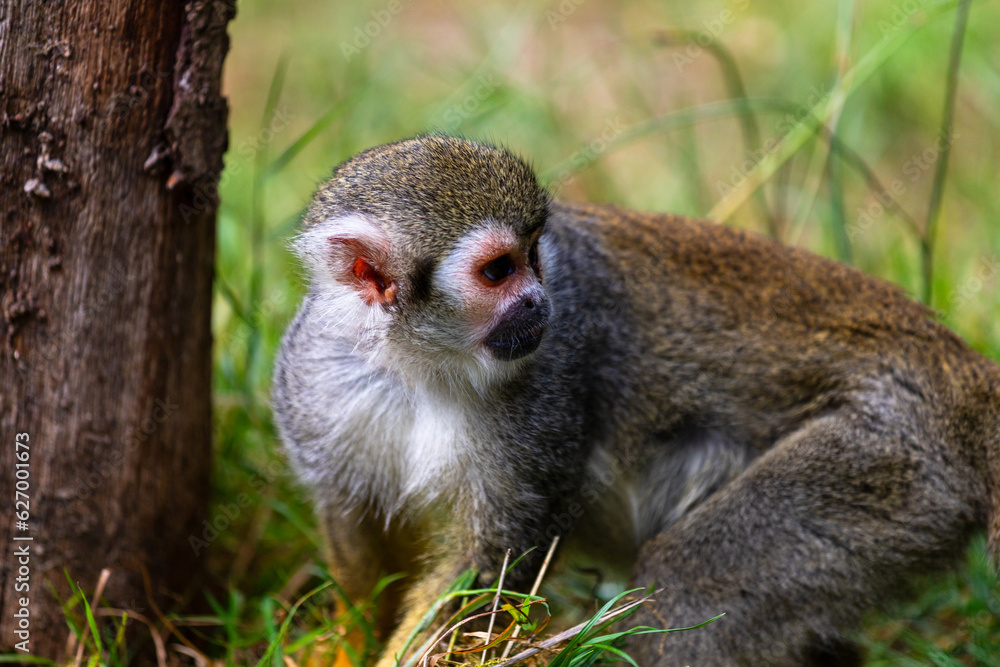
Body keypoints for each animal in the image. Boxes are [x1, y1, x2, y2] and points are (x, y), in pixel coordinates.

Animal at [271, 134, 1000, 666]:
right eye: (500, 270)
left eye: (536, 256)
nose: (540, 303)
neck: (416, 363)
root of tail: (961, 373)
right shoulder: (312, 378)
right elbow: (355, 524)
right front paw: (341, 645)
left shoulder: (547, 387)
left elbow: (495, 556)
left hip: (892, 458)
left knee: (688, 584)